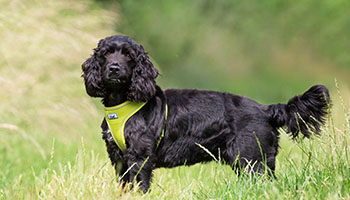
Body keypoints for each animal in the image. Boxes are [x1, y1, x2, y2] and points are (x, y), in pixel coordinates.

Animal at [82, 34, 330, 192]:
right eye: (106, 54)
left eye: (129, 56)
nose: (114, 68)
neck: (121, 102)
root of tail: (266, 109)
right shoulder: (119, 159)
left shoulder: (140, 158)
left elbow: (140, 186)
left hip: (253, 160)